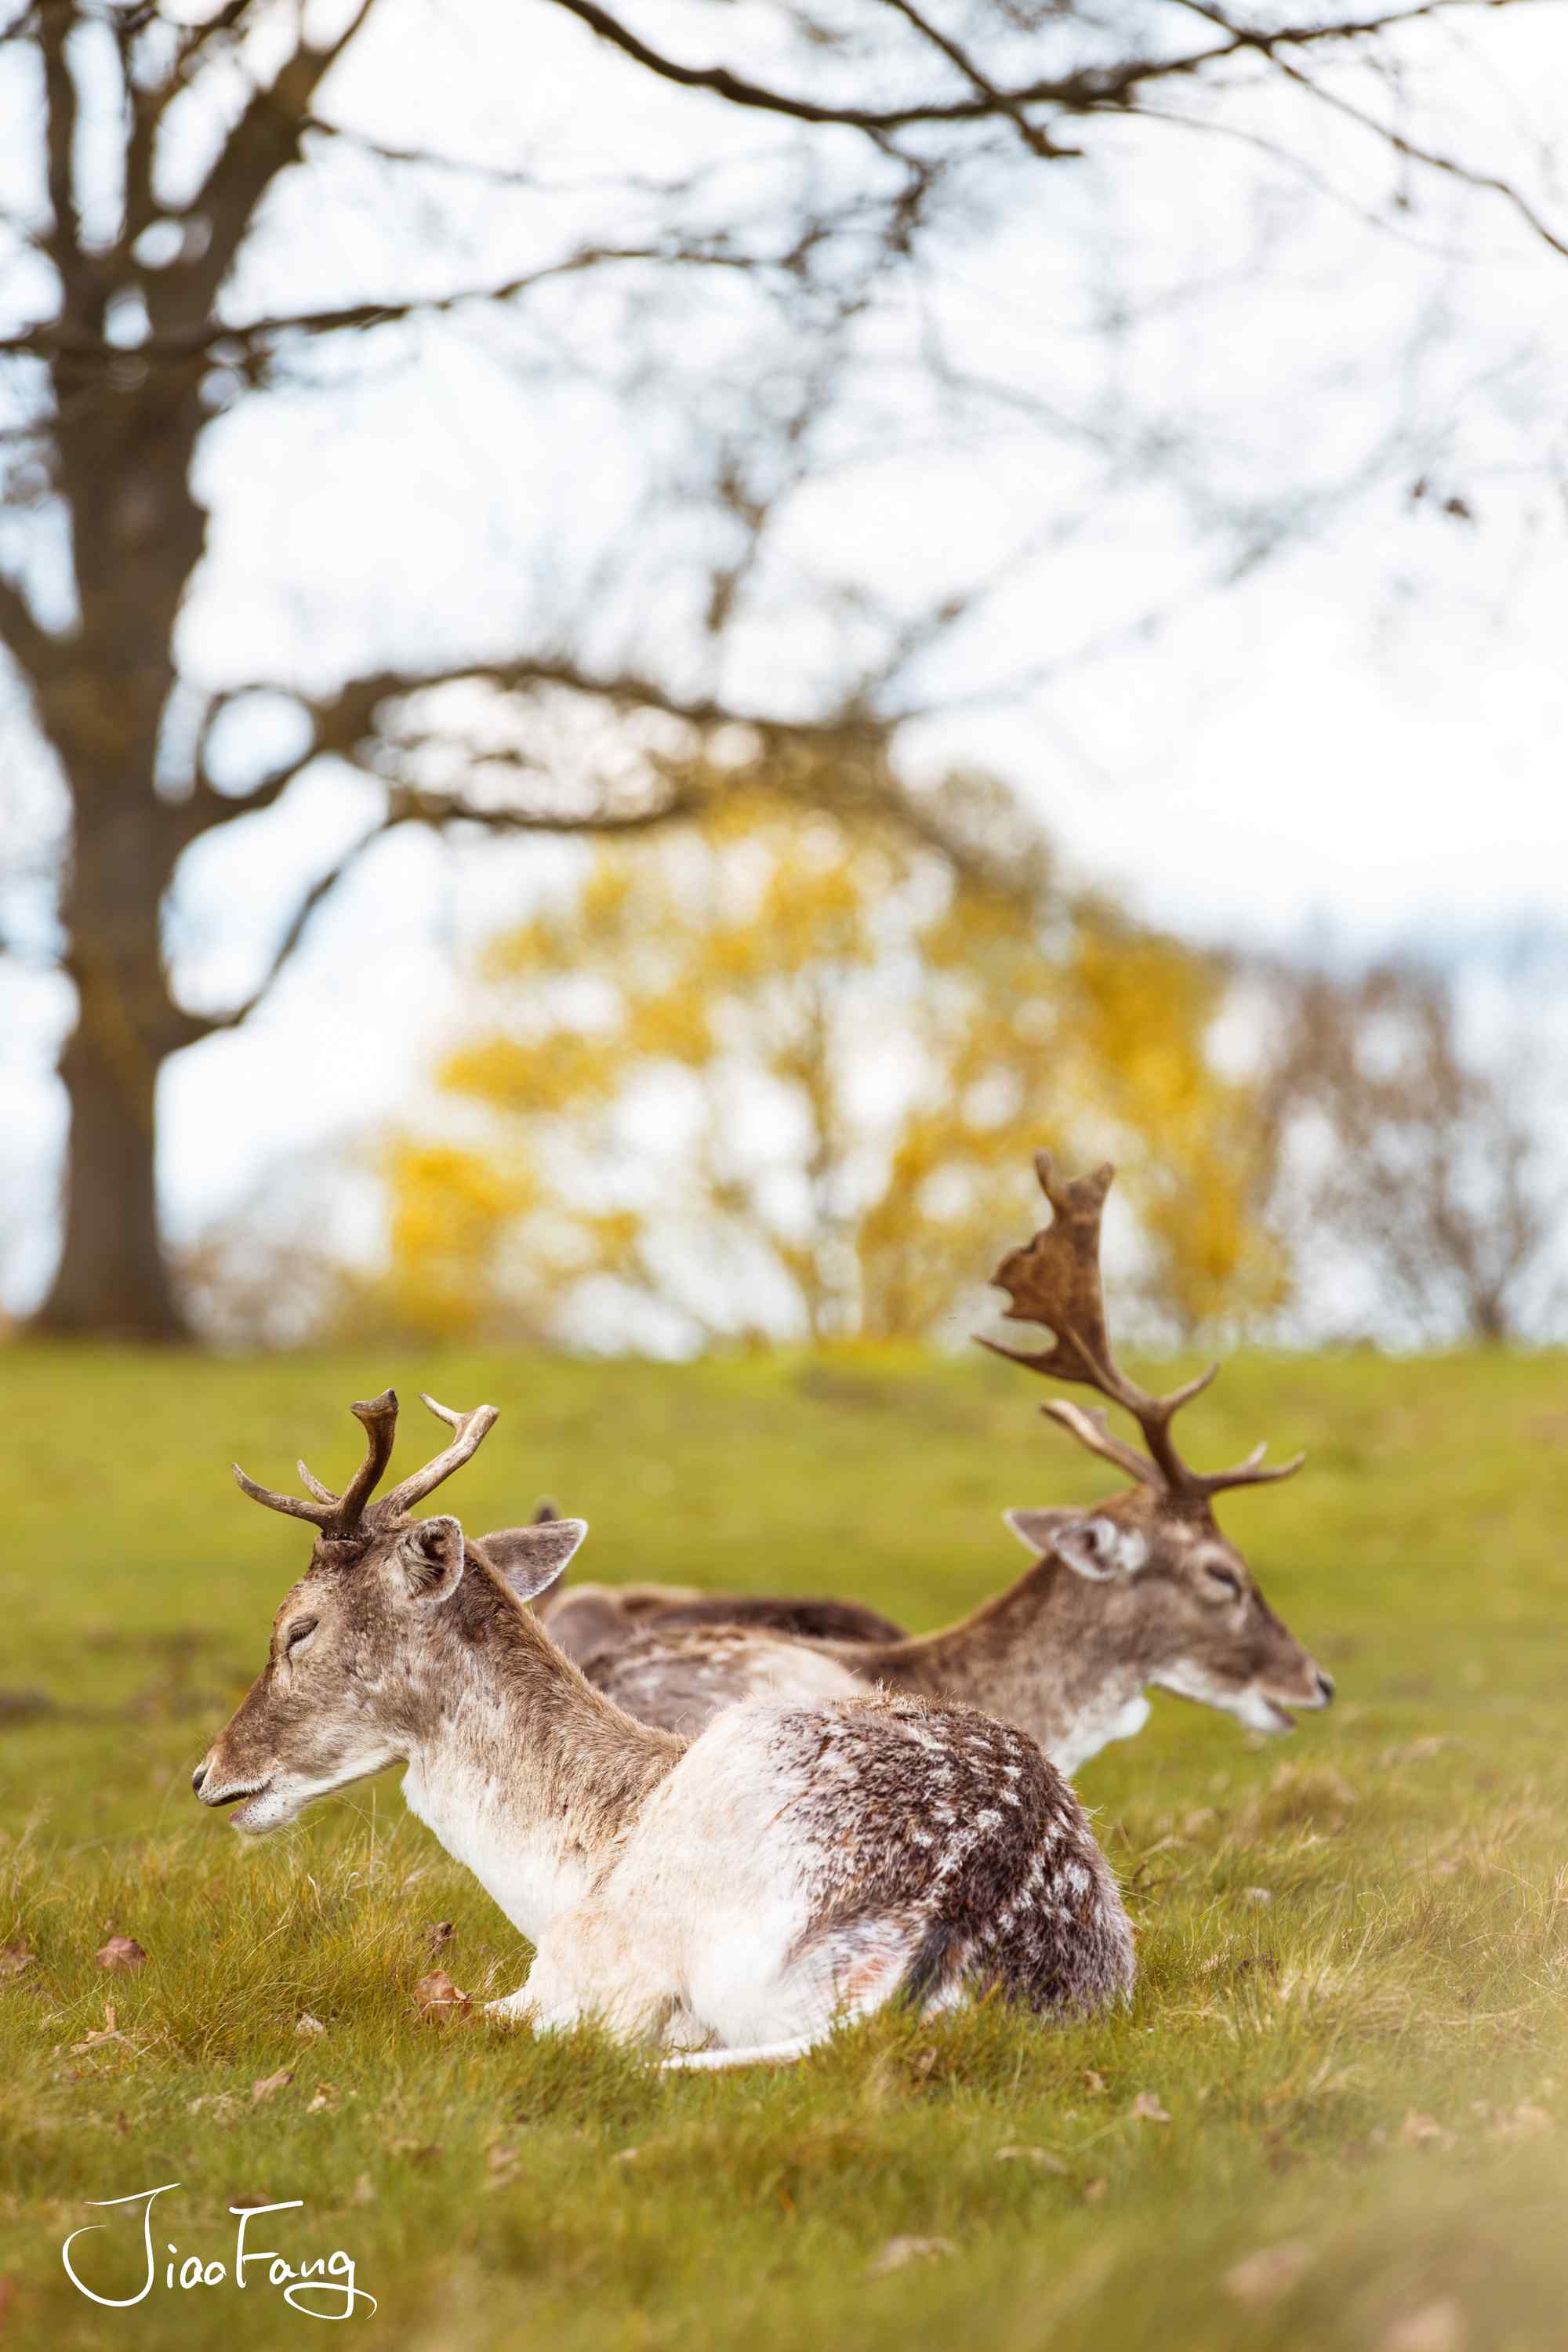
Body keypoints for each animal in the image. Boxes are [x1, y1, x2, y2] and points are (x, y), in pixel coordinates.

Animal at [192, 1383, 1128, 2070]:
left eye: (299, 1629)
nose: (208, 1775)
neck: (560, 1864)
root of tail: (933, 1947)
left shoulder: (574, 1970)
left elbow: (426, 2004)